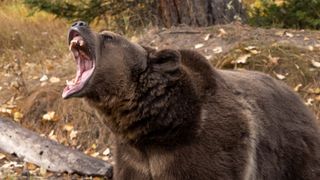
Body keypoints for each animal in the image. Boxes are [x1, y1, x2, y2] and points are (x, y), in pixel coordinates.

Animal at [63, 20, 320, 179]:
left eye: (108, 36)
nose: (78, 23)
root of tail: (298, 97)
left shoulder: (209, 147)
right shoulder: (133, 158)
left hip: (293, 153)